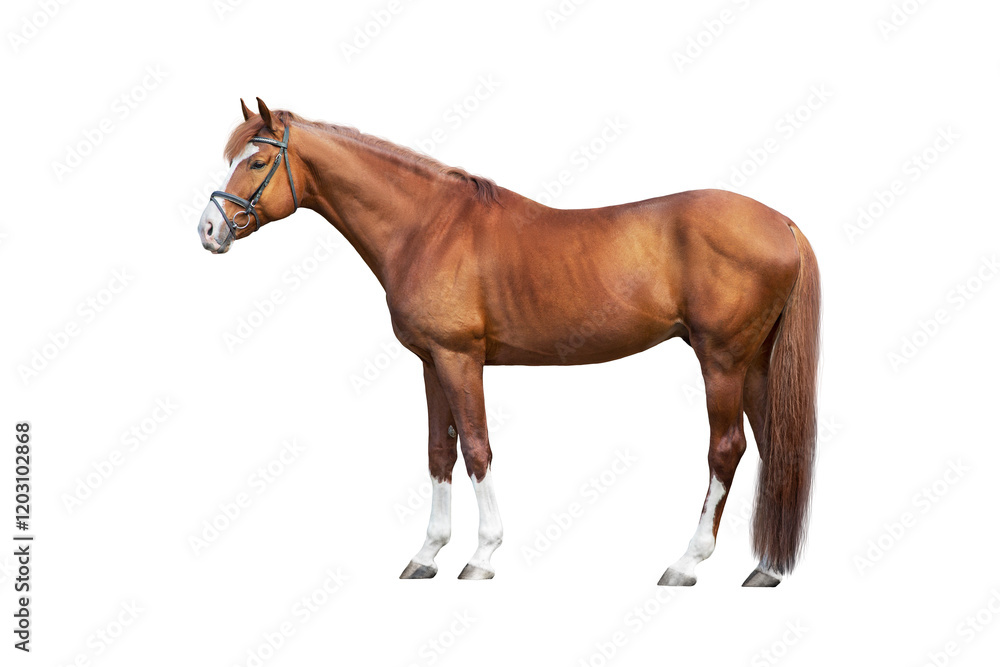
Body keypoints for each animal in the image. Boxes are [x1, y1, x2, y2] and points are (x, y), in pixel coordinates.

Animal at [198, 98, 820, 587]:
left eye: (257, 160)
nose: (209, 229)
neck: (427, 227)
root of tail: (783, 223)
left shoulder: (460, 359)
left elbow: (476, 448)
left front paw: (481, 555)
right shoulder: (431, 362)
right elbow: (439, 451)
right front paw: (426, 554)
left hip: (722, 360)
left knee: (727, 449)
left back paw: (687, 563)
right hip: (755, 362)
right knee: (774, 445)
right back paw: (765, 566)